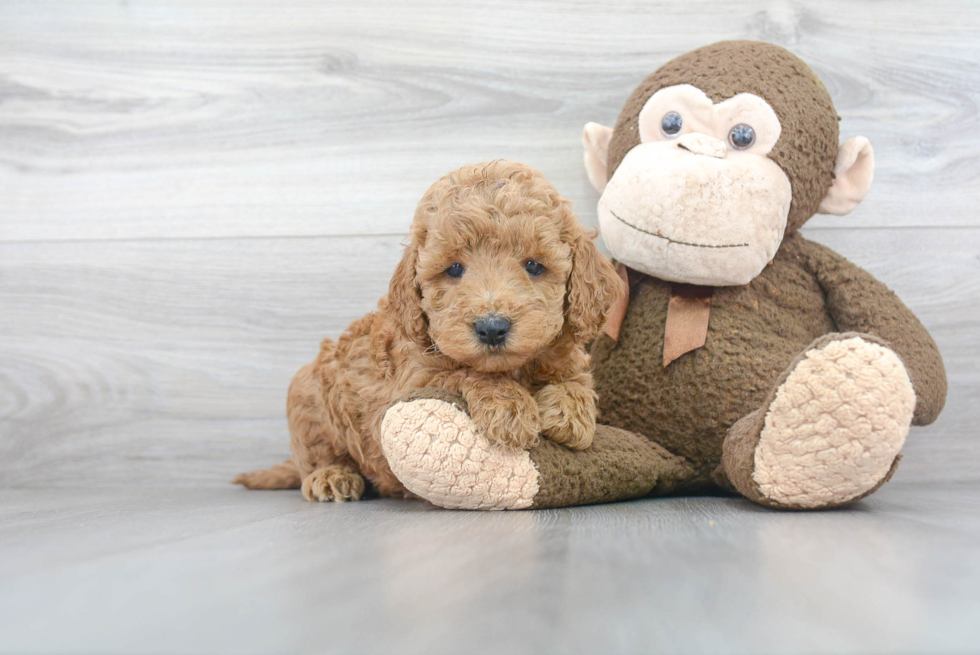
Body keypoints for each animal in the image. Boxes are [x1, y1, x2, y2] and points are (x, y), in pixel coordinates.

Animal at [234, 163, 624, 502]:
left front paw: (570, 413)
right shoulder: (409, 383)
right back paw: (331, 476)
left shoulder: (567, 356)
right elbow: (464, 372)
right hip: (309, 398)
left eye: (534, 266)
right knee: (316, 454)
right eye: (454, 269)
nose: (491, 328)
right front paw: (509, 407)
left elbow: (575, 380)